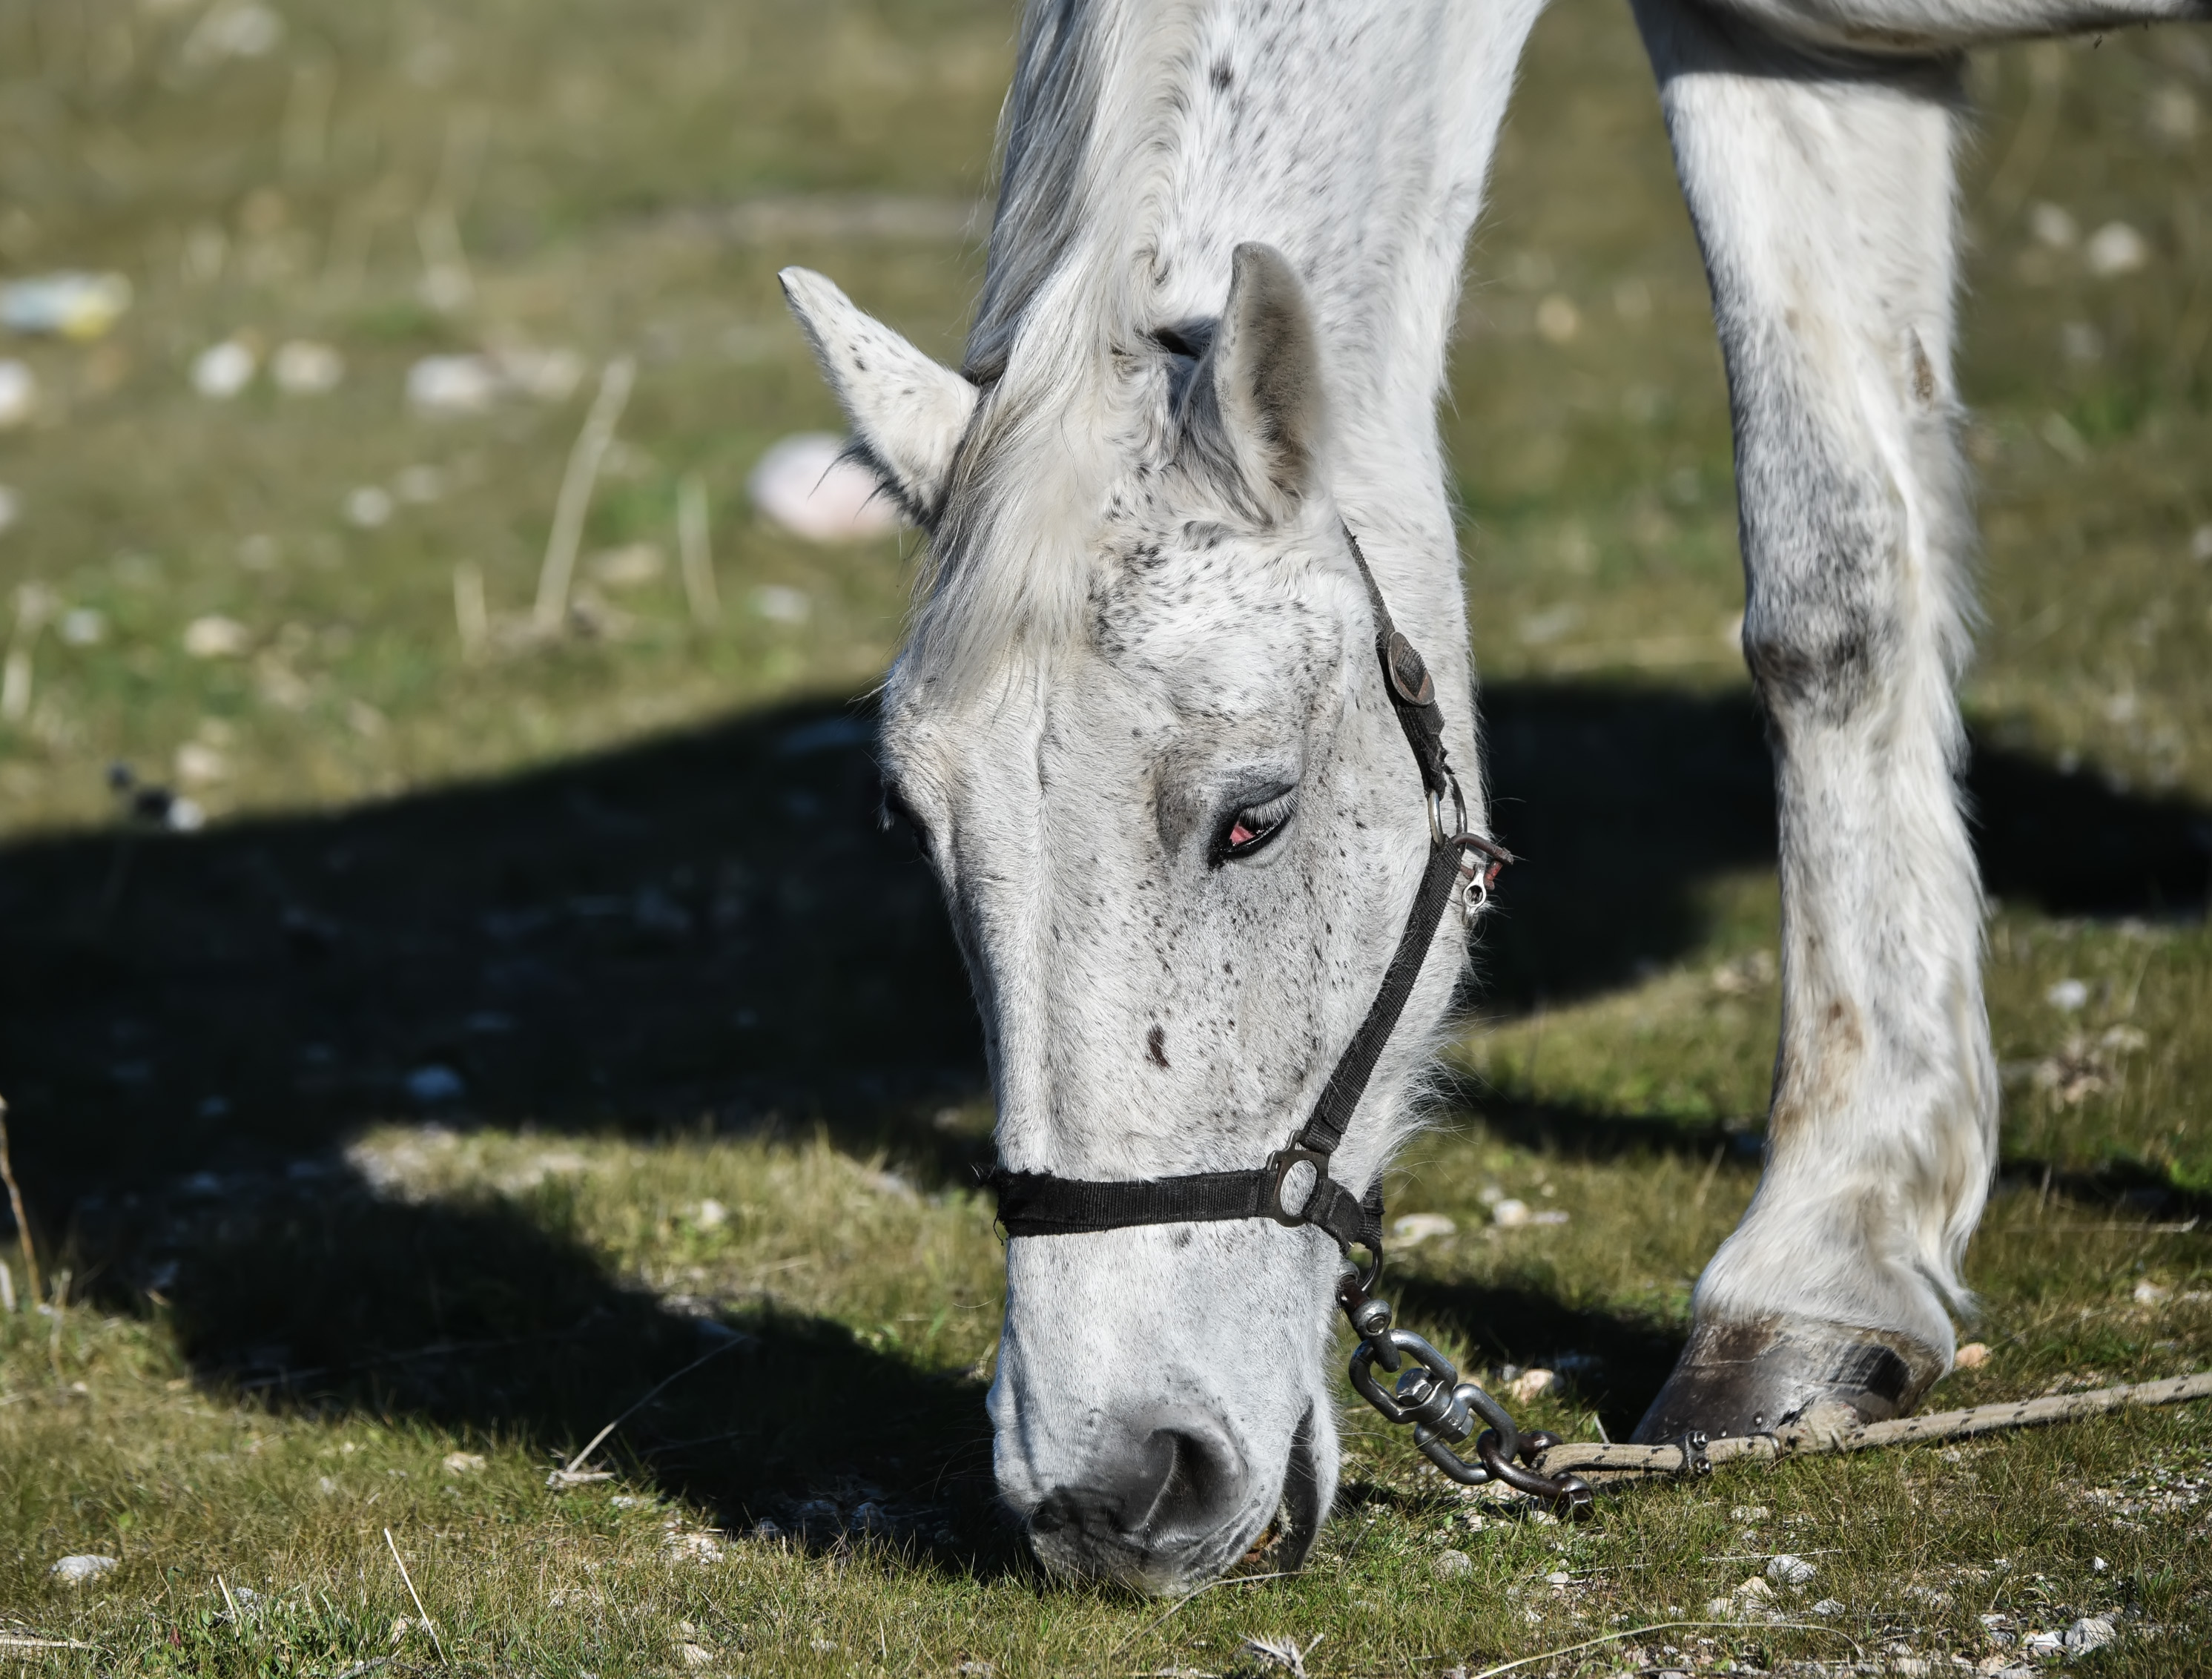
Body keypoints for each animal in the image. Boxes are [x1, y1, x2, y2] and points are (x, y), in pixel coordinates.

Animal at [787, 0, 2203, 1592]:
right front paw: (1834, 1260)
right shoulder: (1788, 58)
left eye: (1253, 814)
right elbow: (1828, 591)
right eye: (915, 827)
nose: (1104, 1494)